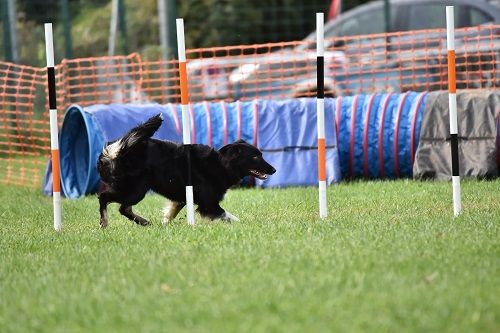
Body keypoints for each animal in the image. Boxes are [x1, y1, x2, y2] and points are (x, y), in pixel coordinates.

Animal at [96, 113, 278, 227]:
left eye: (261, 155)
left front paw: (165, 225)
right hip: (134, 190)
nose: (274, 170)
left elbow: (170, 213)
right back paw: (104, 223)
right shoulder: (208, 204)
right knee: (104, 198)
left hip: (135, 189)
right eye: (255, 157)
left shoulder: (181, 199)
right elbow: (230, 216)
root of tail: (119, 150)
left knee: (123, 208)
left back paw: (144, 222)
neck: (219, 164)